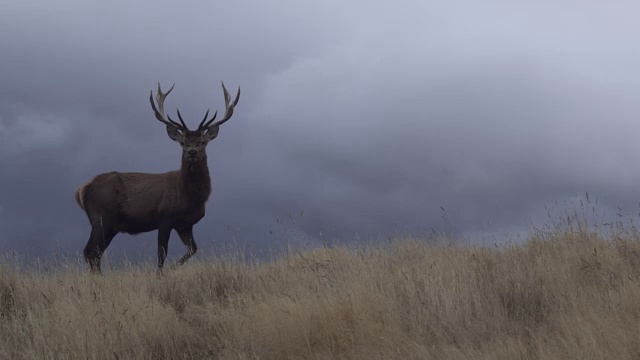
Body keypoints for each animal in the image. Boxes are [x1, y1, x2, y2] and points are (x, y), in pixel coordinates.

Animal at [73, 81, 242, 272]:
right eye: (183, 142)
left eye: (202, 142)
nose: (192, 152)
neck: (191, 197)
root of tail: (81, 189)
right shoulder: (165, 217)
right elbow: (162, 254)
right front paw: (161, 274)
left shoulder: (185, 224)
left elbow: (193, 249)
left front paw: (171, 269)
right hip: (101, 216)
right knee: (90, 251)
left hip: (110, 224)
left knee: (95, 253)